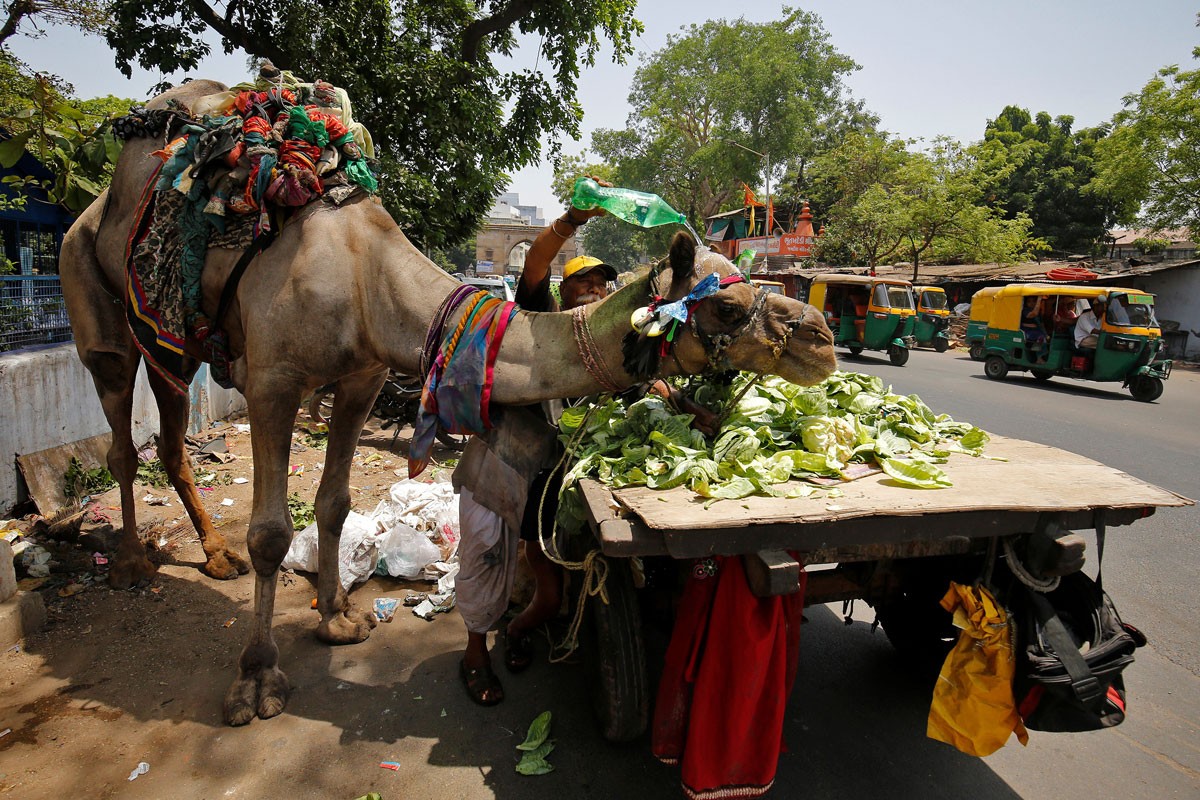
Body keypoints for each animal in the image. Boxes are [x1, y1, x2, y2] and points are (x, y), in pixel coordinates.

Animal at [60, 81, 840, 724]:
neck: (363, 279)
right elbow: (272, 534)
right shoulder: (273, 382)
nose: (822, 337)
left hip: (173, 345)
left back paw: (213, 555)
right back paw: (130, 564)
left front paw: (336, 618)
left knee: (168, 431)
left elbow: (335, 502)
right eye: (727, 306)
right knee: (121, 436)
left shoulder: (363, 376)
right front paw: (256, 680)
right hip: (92, 300)